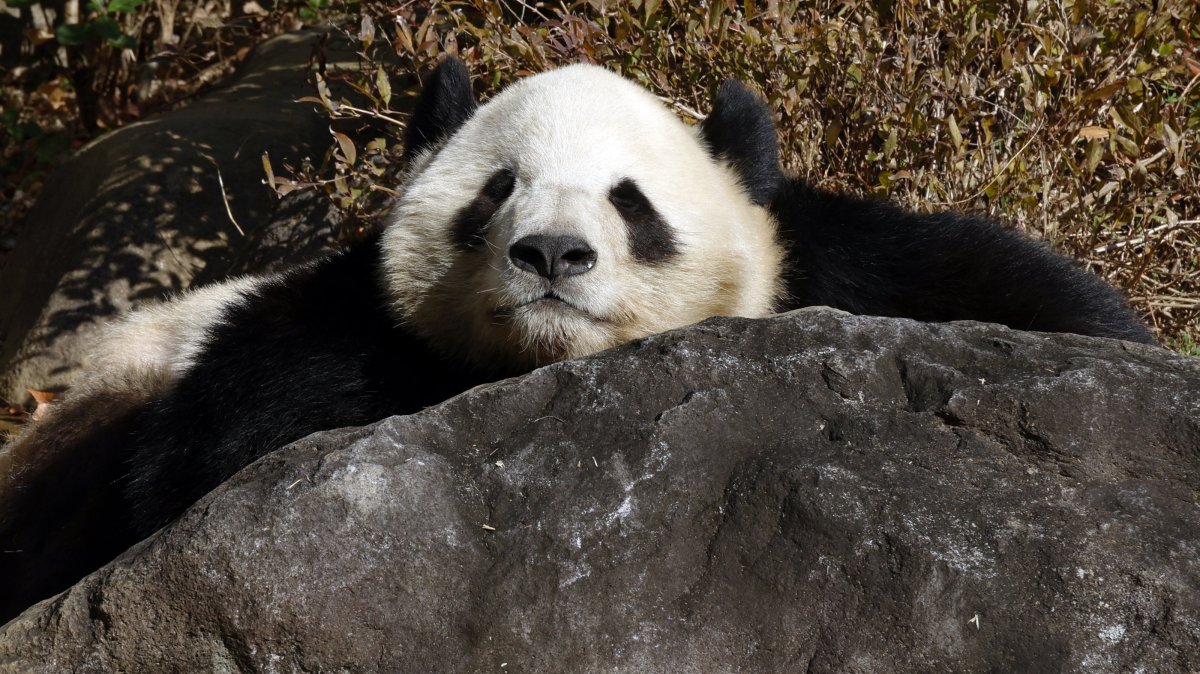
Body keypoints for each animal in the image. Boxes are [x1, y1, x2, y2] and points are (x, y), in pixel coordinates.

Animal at [0, 57, 1152, 624]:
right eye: (496, 189)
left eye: (630, 201)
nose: (552, 253)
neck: (551, 364)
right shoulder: (319, 332)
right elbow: (227, 445)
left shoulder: (837, 265)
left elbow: (1025, 300)